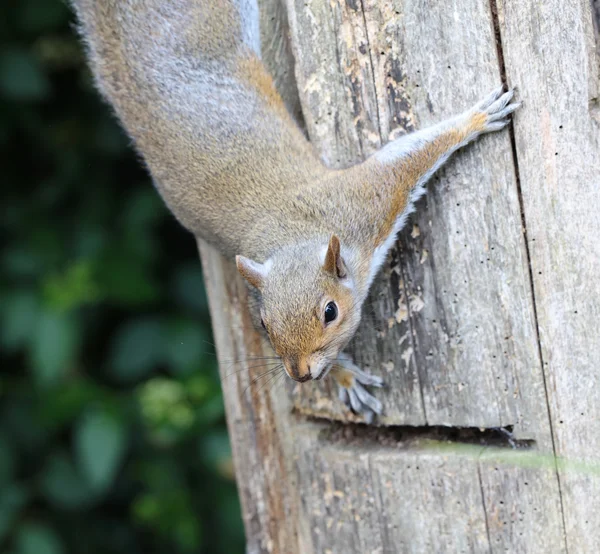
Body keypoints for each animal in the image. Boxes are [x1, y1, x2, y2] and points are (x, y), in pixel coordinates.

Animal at [71, 1, 520, 422]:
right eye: (263, 324)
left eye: (330, 311)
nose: (300, 373)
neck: (291, 237)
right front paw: (344, 377)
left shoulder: (366, 204)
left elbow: (407, 159)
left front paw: (475, 119)